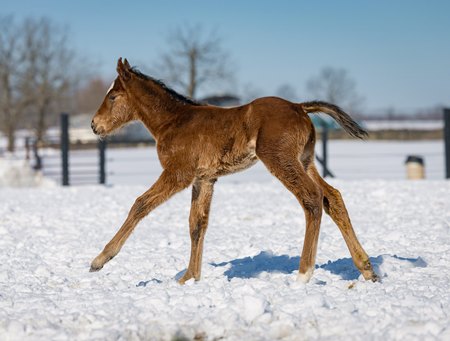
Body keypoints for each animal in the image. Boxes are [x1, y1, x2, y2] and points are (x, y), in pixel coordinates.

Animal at [89, 57, 378, 282]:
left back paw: (304, 274)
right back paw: (366, 268)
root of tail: (299, 107)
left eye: (113, 96)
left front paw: (100, 259)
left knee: (312, 197)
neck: (173, 122)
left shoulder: (178, 173)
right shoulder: (205, 179)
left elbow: (140, 204)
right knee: (332, 197)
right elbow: (197, 224)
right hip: (304, 161)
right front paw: (189, 278)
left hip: (280, 160)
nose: (94, 125)